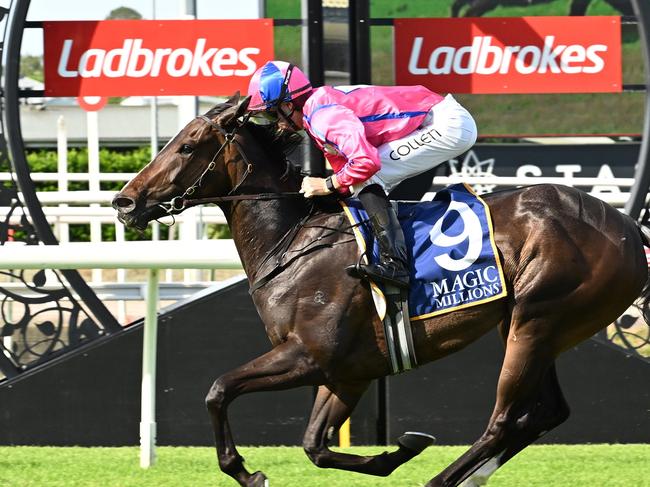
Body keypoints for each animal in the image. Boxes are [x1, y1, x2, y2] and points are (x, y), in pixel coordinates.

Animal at [112, 93, 648, 486]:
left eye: (186, 146)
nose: (125, 201)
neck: (294, 242)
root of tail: (626, 226)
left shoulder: (308, 356)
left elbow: (219, 390)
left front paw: (245, 471)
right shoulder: (349, 371)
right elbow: (315, 445)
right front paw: (397, 451)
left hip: (535, 321)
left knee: (505, 419)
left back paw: (441, 481)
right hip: (541, 329)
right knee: (542, 414)